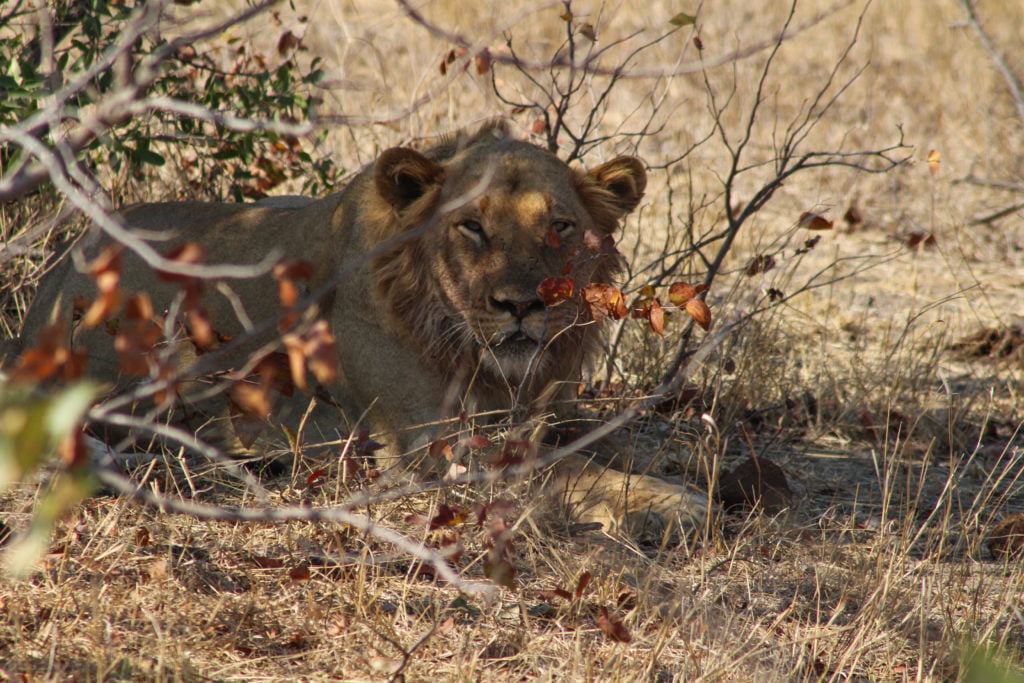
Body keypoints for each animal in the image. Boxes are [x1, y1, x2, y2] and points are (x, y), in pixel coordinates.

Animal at [17, 121, 709, 538]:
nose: (520, 305)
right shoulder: (428, 451)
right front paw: (673, 503)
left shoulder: (547, 408)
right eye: (472, 227)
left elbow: (599, 445)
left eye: (560, 227)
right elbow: (560, 470)